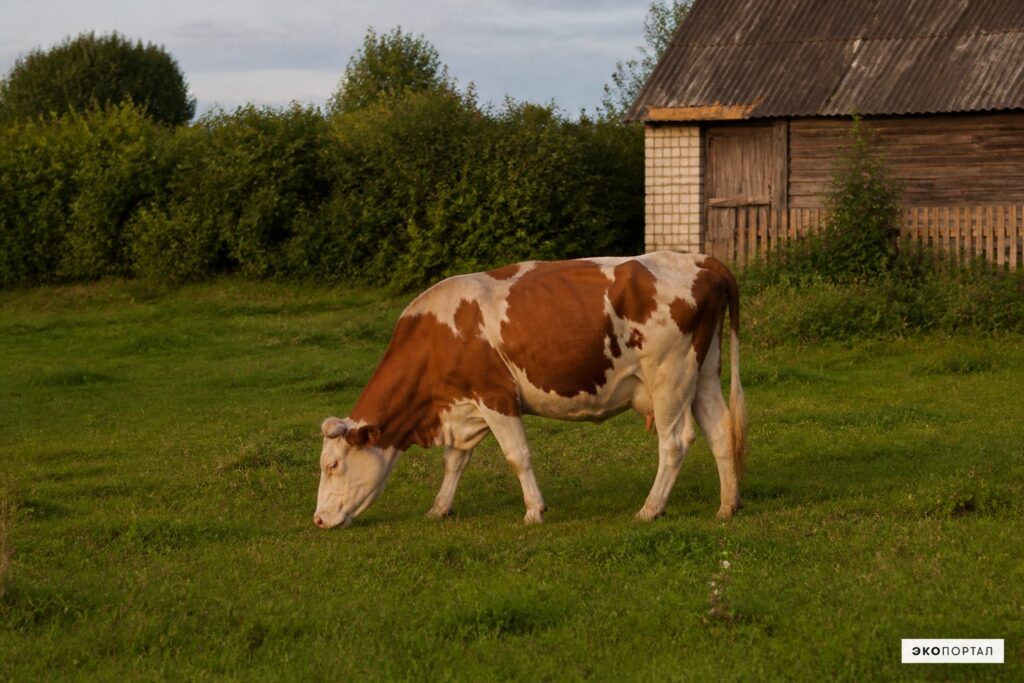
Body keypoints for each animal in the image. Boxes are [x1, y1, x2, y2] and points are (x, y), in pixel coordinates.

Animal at [314, 250, 746, 528]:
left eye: (332, 465)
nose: (318, 519)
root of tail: (697, 260)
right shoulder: (464, 405)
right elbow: (455, 461)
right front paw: (439, 508)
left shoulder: (495, 396)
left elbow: (517, 456)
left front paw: (534, 511)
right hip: (704, 373)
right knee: (721, 432)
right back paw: (728, 505)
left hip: (669, 376)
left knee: (674, 442)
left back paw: (650, 508)